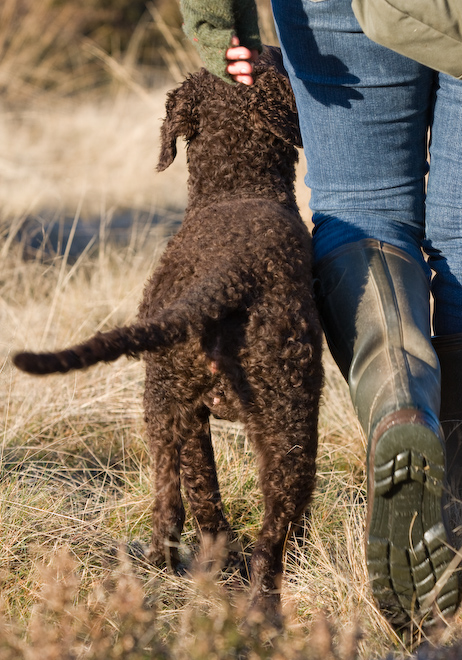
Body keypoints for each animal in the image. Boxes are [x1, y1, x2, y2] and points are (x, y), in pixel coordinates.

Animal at [15, 49, 324, 620]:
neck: (236, 185)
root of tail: (225, 276)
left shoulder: (189, 411)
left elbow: (199, 491)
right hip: (290, 418)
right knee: (273, 529)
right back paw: (263, 603)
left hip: (163, 399)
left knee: (173, 501)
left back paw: (168, 568)